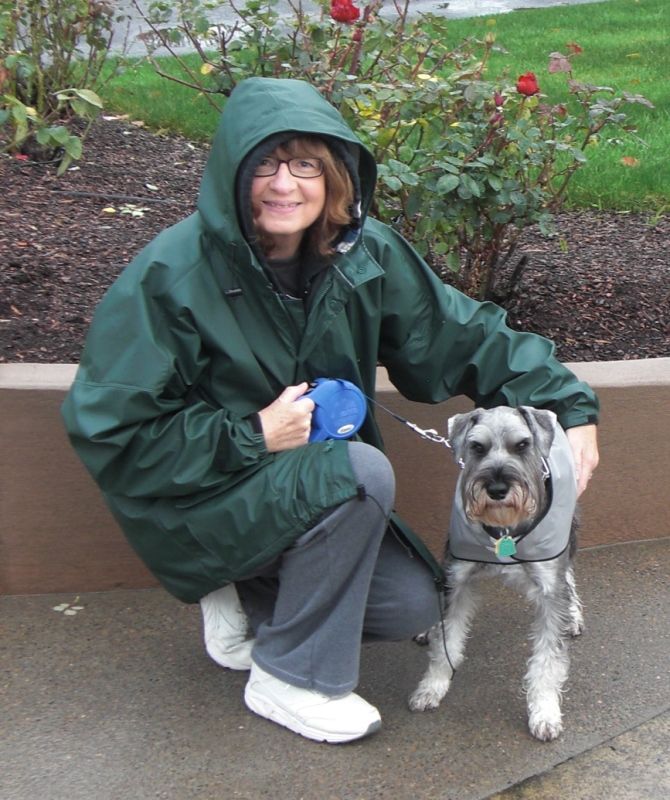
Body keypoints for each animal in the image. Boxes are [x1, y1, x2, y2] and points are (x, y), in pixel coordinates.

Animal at [409, 406, 583, 741]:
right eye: (477, 447)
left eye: (523, 445)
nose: (498, 489)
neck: (505, 530)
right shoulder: (457, 577)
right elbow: (445, 641)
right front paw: (432, 687)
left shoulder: (549, 591)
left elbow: (547, 660)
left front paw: (544, 713)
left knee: (568, 577)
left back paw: (574, 616)